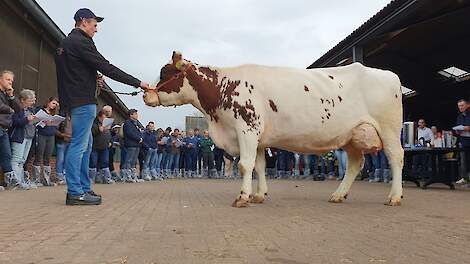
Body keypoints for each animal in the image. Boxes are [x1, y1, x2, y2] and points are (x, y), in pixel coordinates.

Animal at [143, 51, 404, 207]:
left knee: (395, 157)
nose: (146, 94)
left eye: (165, 72)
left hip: (389, 129)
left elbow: (245, 165)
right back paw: (338, 195)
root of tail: (389, 75)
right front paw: (259, 195)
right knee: (354, 165)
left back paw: (394, 196)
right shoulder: (257, 137)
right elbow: (259, 166)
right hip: (352, 136)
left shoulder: (247, 129)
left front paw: (243, 197)